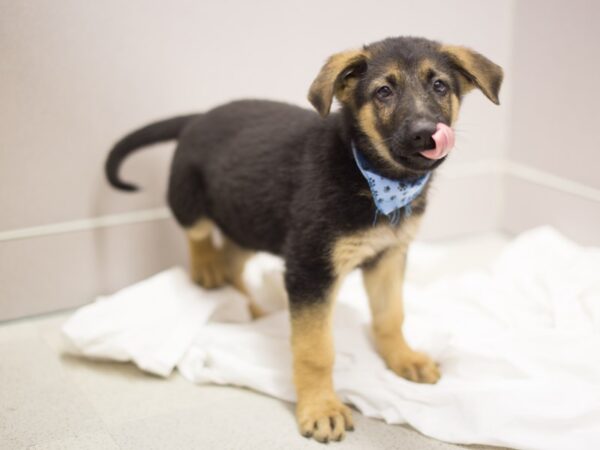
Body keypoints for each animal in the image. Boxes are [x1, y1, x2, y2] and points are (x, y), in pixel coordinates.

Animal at [104, 36, 502, 442]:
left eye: (439, 86)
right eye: (383, 92)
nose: (425, 132)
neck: (368, 173)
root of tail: (198, 117)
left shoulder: (389, 256)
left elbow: (391, 315)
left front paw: (404, 359)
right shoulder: (310, 269)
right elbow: (316, 350)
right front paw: (321, 408)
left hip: (248, 218)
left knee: (232, 258)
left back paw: (247, 306)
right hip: (192, 197)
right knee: (199, 235)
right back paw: (207, 271)